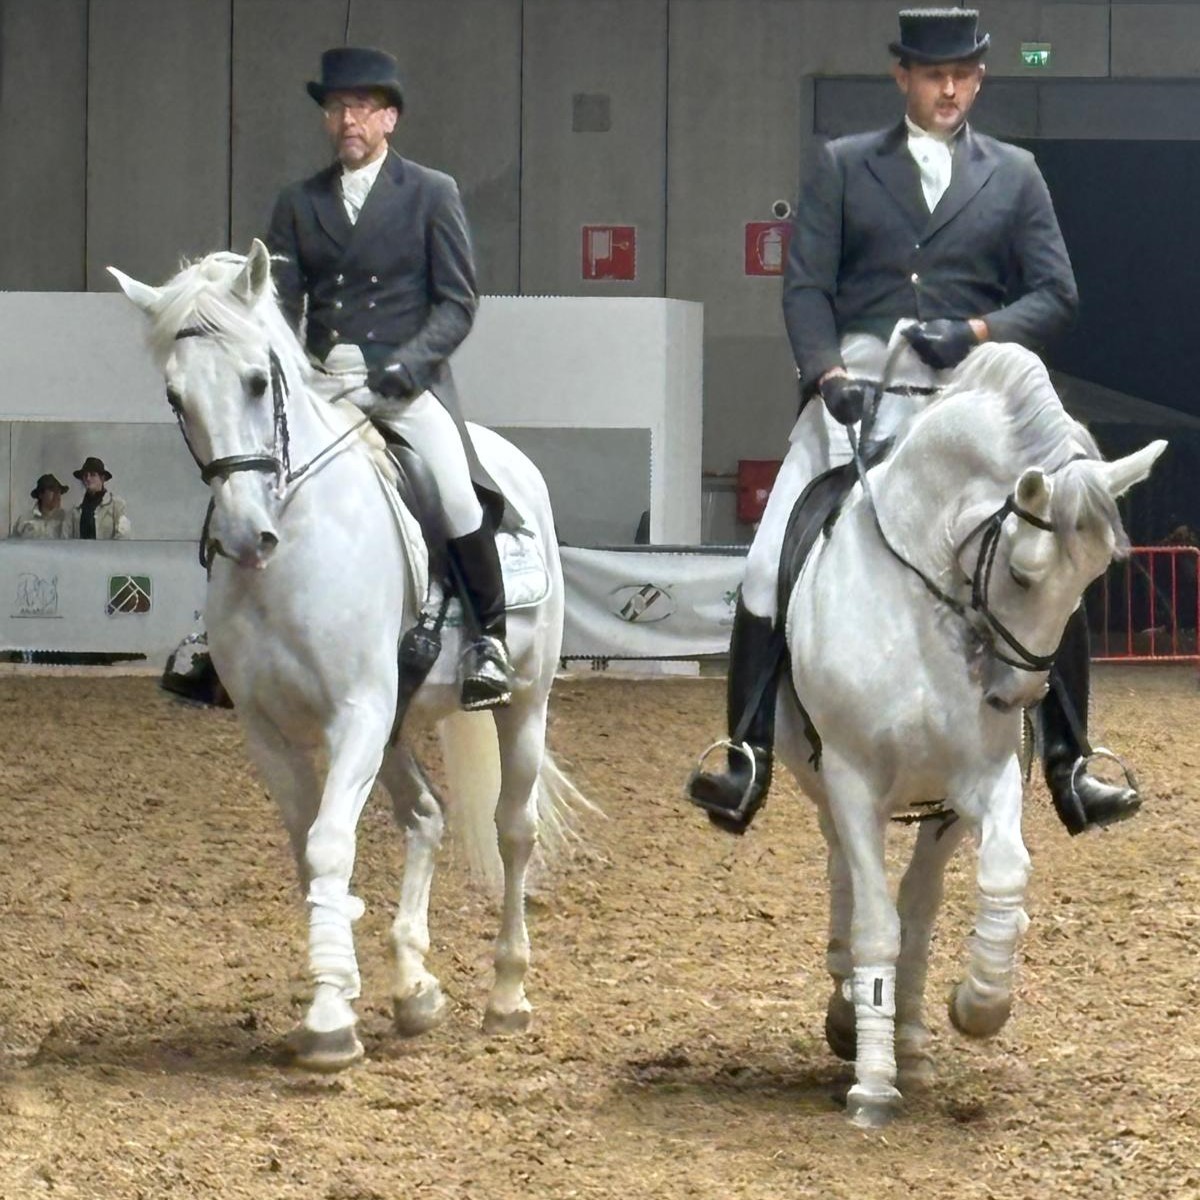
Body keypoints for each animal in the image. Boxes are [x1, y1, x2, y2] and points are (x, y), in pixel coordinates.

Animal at [110, 239, 585, 1072]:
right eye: (175, 398)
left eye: (257, 380)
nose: (246, 536)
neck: (294, 548)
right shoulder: (269, 729)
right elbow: (310, 854)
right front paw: (347, 983)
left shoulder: (357, 712)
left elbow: (332, 845)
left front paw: (331, 1016)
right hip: (396, 723)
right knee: (426, 815)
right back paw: (415, 989)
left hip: (524, 704)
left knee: (513, 829)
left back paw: (505, 995)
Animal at [774, 341, 1164, 1127]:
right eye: (1021, 572)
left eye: (1092, 583)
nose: (1013, 695)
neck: (917, 609)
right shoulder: (852, 779)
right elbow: (874, 924)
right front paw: (871, 1085)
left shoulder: (982, 779)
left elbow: (999, 876)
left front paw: (978, 1003)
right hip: (827, 785)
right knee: (848, 883)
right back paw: (851, 1014)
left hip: (939, 812)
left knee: (919, 904)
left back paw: (910, 1040)